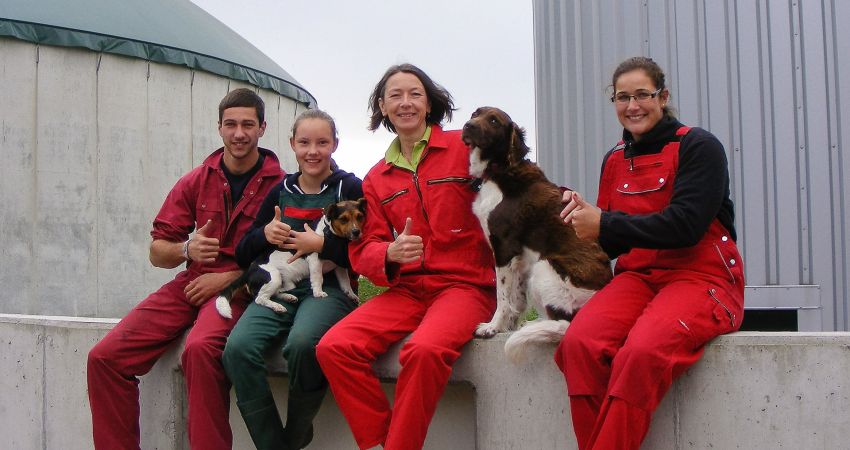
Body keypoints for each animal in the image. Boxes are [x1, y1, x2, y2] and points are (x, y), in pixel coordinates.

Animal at [215, 199, 364, 318]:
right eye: (343, 219)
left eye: (360, 217)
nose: (356, 232)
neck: (329, 234)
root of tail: (249, 270)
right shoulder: (315, 261)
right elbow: (318, 278)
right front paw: (318, 293)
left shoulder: (339, 266)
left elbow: (345, 282)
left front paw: (351, 294)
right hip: (273, 277)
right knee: (260, 298)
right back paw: (277, 306)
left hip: (285, 282)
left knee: (276, 293)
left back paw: (288, 297)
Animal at [460, 105, 612, 362]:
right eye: (475, 114)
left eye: (493, 120)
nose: (467, 126)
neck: (500, 170)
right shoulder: (521, 258)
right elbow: (517, 299)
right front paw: (508, 326)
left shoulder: (504, 246)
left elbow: (502, 296)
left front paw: (492, 327)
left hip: (544, 266)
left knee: (564, 324)